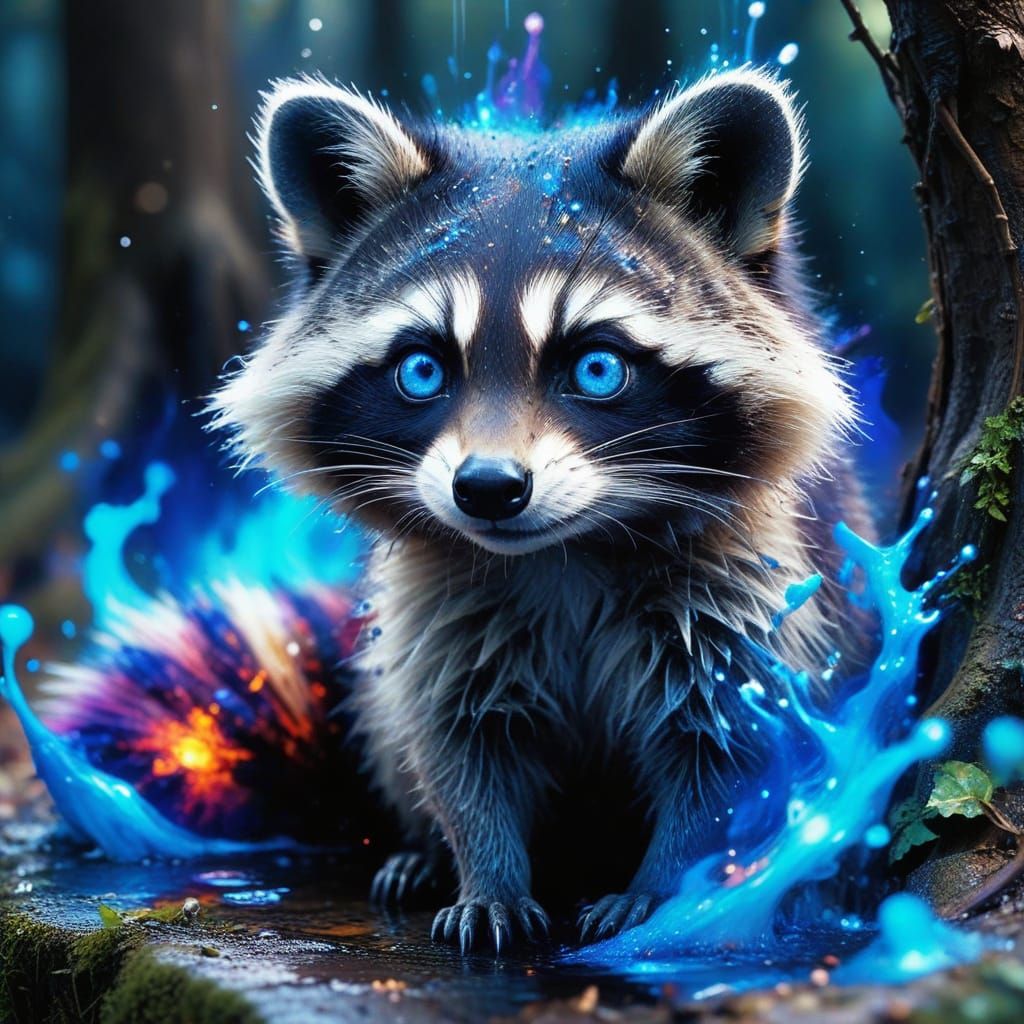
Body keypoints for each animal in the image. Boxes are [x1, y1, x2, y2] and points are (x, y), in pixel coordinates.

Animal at [212, 69, 869, 953]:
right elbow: (456, 742)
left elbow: (728, 748)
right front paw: (485, 870)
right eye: (422, 370)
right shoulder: (436, 606)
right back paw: (422, 852)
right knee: (388, 716)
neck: (565, 551)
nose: (488, 487)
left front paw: (668, 891)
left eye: (596, 367)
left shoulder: (754, 578)